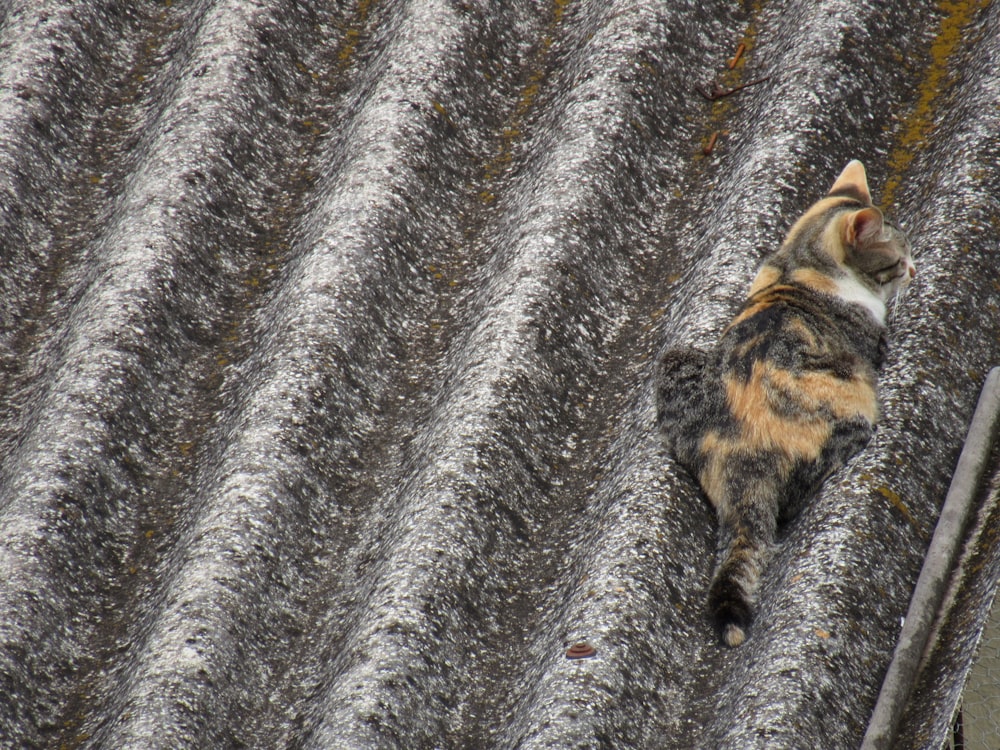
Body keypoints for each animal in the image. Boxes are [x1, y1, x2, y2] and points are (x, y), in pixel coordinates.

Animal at [656, 162, 916, 648]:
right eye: (895, 258)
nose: (913, 268)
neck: (800, 266)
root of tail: (739, 462)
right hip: (847, 400)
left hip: (674, 360)